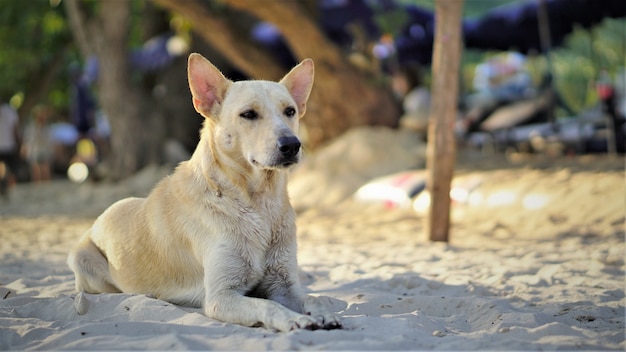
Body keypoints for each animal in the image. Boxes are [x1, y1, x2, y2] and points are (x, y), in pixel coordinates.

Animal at [67, 53, 342, 332]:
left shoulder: (283, 284)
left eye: (290, 111)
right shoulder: (221, 296)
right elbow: (266, 305)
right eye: (248, 114)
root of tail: (99, 219)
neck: (258, 202)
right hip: (83, 262)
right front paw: (294, 320)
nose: (292, 145)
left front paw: (323, 314)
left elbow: (314, 297)